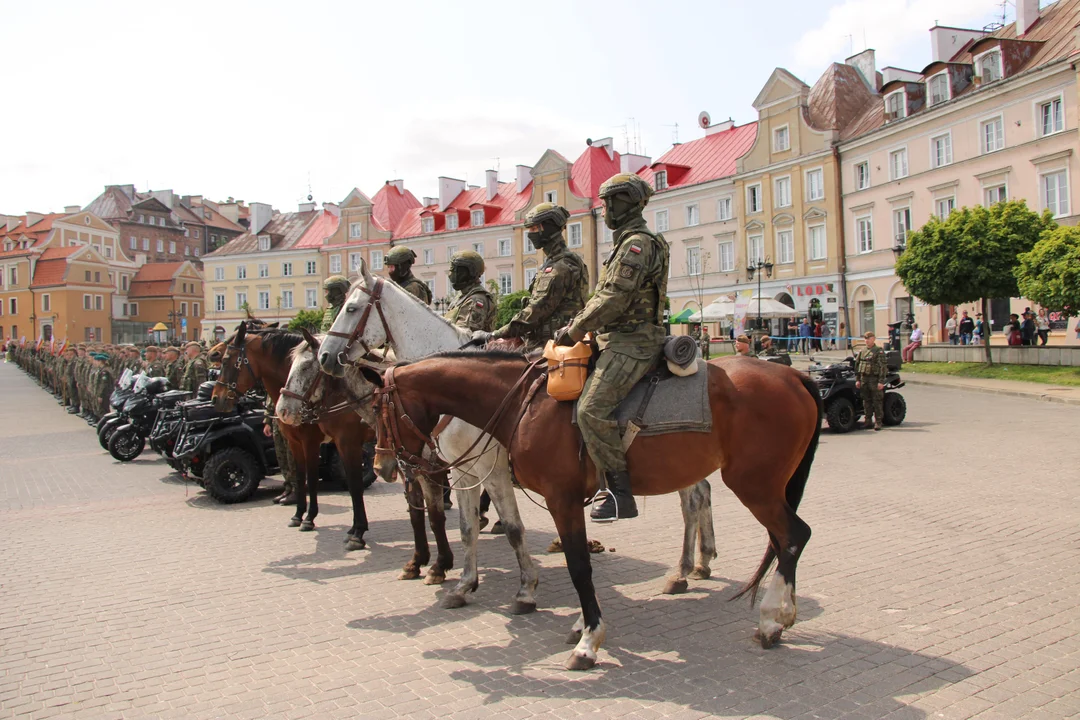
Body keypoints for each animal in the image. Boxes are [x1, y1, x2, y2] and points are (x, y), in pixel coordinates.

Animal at [212, 323, 453, 582]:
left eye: (226, 360)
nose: (216, 399)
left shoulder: (334, 442)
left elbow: (345, 484)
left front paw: (348, 529)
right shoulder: (298, 442)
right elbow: (301, 477)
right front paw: (300, 515)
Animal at [354, 351, 816, 673]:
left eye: (377, 408)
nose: (382, 466)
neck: (525, 404)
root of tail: (793, 374)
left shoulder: (553, 496)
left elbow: (577, 566)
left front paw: (588, 639)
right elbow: (497, 534)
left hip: (755, 485)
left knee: (792, 536)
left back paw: (771, 617)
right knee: (770, 535)